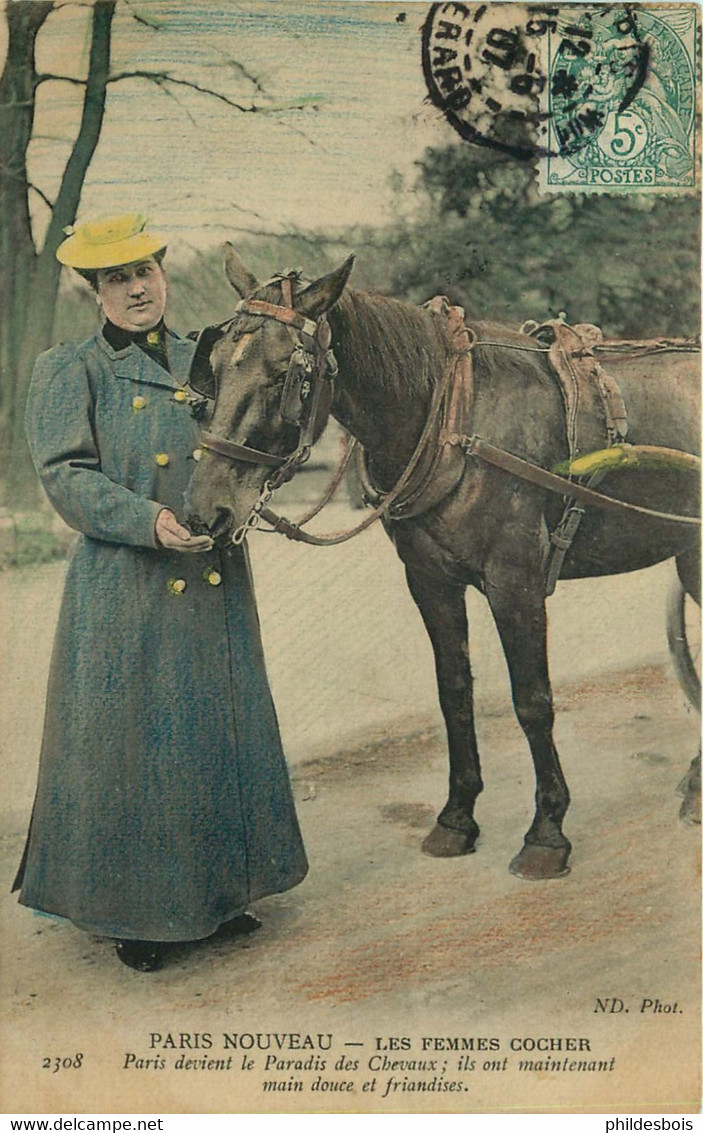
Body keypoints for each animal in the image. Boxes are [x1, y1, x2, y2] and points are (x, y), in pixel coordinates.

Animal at [183, 248, 698, 879]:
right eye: (214, 368)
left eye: (285, 376)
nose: (205, 511)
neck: (455, 417)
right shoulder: (429, 581)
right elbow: (453, 693)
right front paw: (456, 818)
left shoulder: (515, 583)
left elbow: (532, 701)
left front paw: (547, 832)